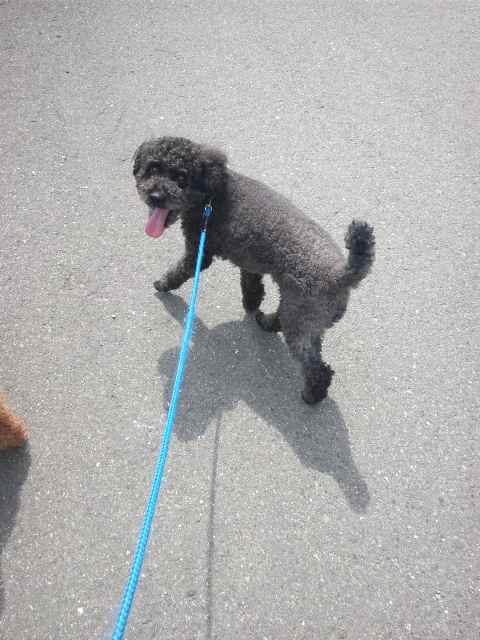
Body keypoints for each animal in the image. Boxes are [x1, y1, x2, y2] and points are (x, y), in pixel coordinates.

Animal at [133, 136, 375, 404]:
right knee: (285, 320)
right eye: (153, 168)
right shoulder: (250, 261)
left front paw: (163, 284)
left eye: (180, 177)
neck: (210, 196)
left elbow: (180, 271)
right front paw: (250, 304)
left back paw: (312, 395)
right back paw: (265, 321)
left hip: (301, 316)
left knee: (316, 367)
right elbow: (251, 286)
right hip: (298, 308)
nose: (155, 196)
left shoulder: (199, 251)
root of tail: (342, 274)